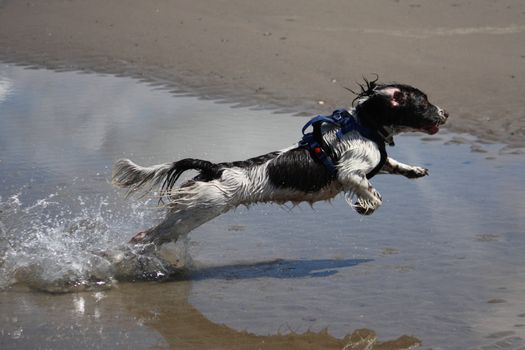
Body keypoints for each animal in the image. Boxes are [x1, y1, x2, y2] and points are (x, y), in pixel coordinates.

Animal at [110, 79, 446, 245]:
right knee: (157, 234)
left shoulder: (377, 162)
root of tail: (214, 168)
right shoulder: (350, 172)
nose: (446, 113)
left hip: (188, 211)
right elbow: (373, 194)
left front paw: (415, 170)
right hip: (200, 211)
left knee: (159, 230)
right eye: (425, 102)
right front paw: (366, 206)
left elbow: (393, 165)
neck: (363, 126)